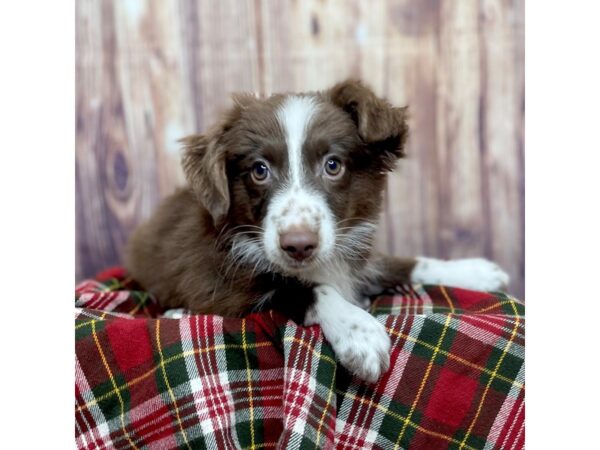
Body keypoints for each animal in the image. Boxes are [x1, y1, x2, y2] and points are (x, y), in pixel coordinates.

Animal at [125, 79, 506, 382]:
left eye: (333, 165)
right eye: (259, 170)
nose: (298, 245)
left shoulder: (358, 256)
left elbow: (408, 262)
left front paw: (473, 271)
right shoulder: (218, 283)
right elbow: (304, 289)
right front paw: (359, 332)